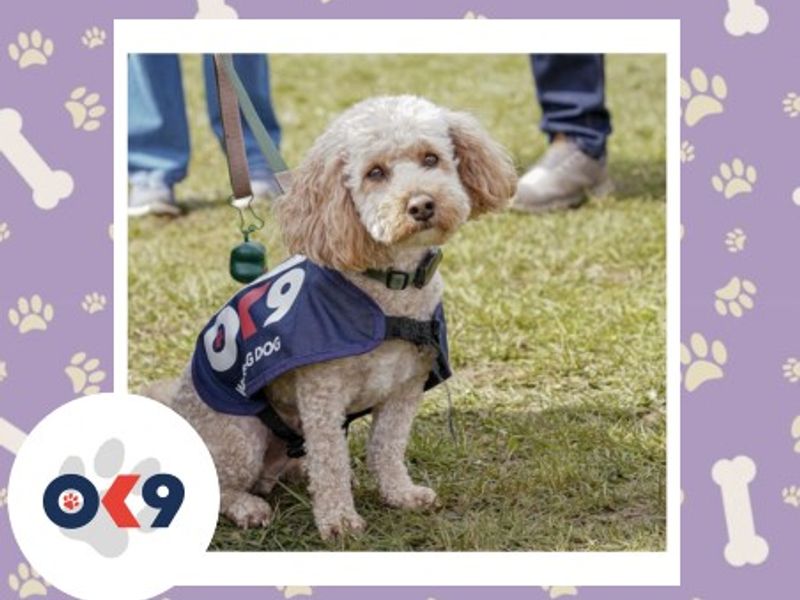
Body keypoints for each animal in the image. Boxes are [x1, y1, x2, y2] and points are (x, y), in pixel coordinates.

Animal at [159, 95, 516, 540]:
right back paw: (248, 507)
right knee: (224, 484)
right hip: (239, 436)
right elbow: (330, 460)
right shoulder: (322, 396)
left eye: (431, 158)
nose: (421, 204)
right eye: (375, 173)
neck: (391, 291)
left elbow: (386, 446)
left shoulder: (406, 388)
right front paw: (339, 520)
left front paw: (400, 494)